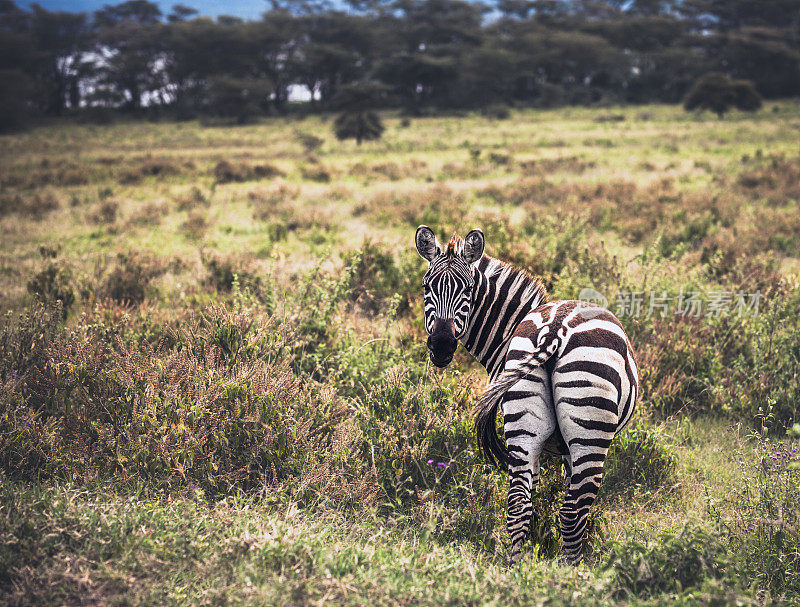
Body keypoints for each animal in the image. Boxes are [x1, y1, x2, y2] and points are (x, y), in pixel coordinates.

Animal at [416, 224, 640, 564]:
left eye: (468, 289)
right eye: (427, 286)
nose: (441, 345)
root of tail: (554, 330)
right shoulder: (565, 447)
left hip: (524, 422)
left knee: (519, 505)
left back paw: (517, 566)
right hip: (590, 429)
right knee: (573, 510)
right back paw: (575, 569)